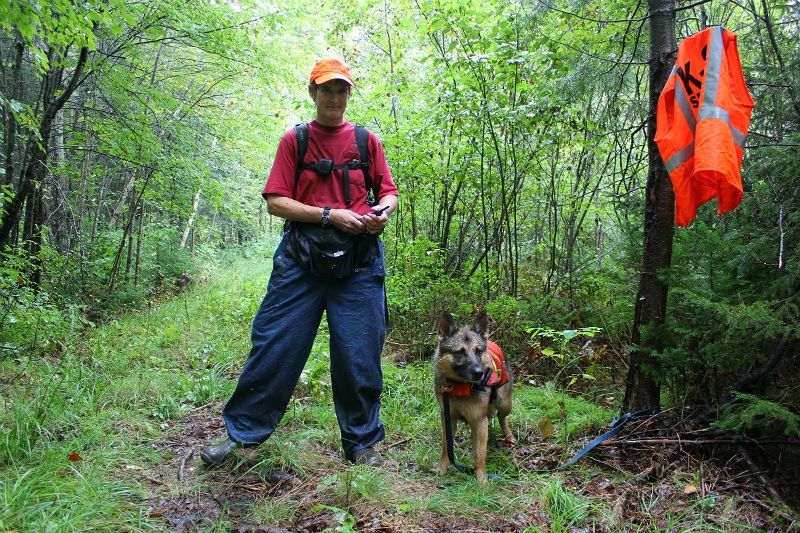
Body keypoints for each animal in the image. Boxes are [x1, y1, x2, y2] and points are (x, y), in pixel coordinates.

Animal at [434, 310, 516, 484]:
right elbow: (446, 447)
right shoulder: (448, 418)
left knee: (502, 418)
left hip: (505, 405)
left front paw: (481, 479)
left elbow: (480, 455)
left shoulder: (479, 420)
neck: (459, 386)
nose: (479, 373)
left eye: (478, 351)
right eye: (460, 352)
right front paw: (442, 468)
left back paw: (509, 436)